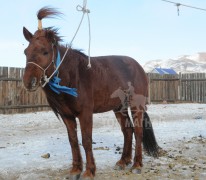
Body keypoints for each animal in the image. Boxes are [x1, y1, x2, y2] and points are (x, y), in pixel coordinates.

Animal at [22, 6, 159, 179]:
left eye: (45, 51)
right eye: (25, 52)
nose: (29, 82)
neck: (73, 75)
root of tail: (138, 67)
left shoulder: (85, 113)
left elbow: (86, 140)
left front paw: (89, 171)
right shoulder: (67, 116)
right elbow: (73, 140)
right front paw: (75, 170)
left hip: (136, 107)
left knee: (138, 132)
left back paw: (137, 164)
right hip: (119, 108)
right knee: (128, 131)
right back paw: (123, 161)